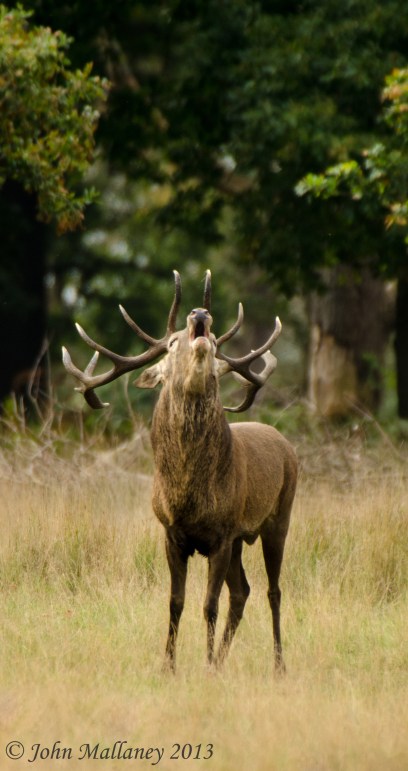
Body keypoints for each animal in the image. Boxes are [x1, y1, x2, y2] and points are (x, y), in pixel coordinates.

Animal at [62, 270, 297, 673]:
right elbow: (176, 602)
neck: (188, 494)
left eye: (216, 343)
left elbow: (209, 604)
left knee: (272, 590)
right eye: (171, 343)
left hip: (278, 517)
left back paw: (278, 665)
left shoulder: (221, 534)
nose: (199, 312)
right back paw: (223, 660)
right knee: (242, 591)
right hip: (241, 539)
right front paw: (169, 665)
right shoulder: (172, 533)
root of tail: (286, 444)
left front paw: (204, 663)